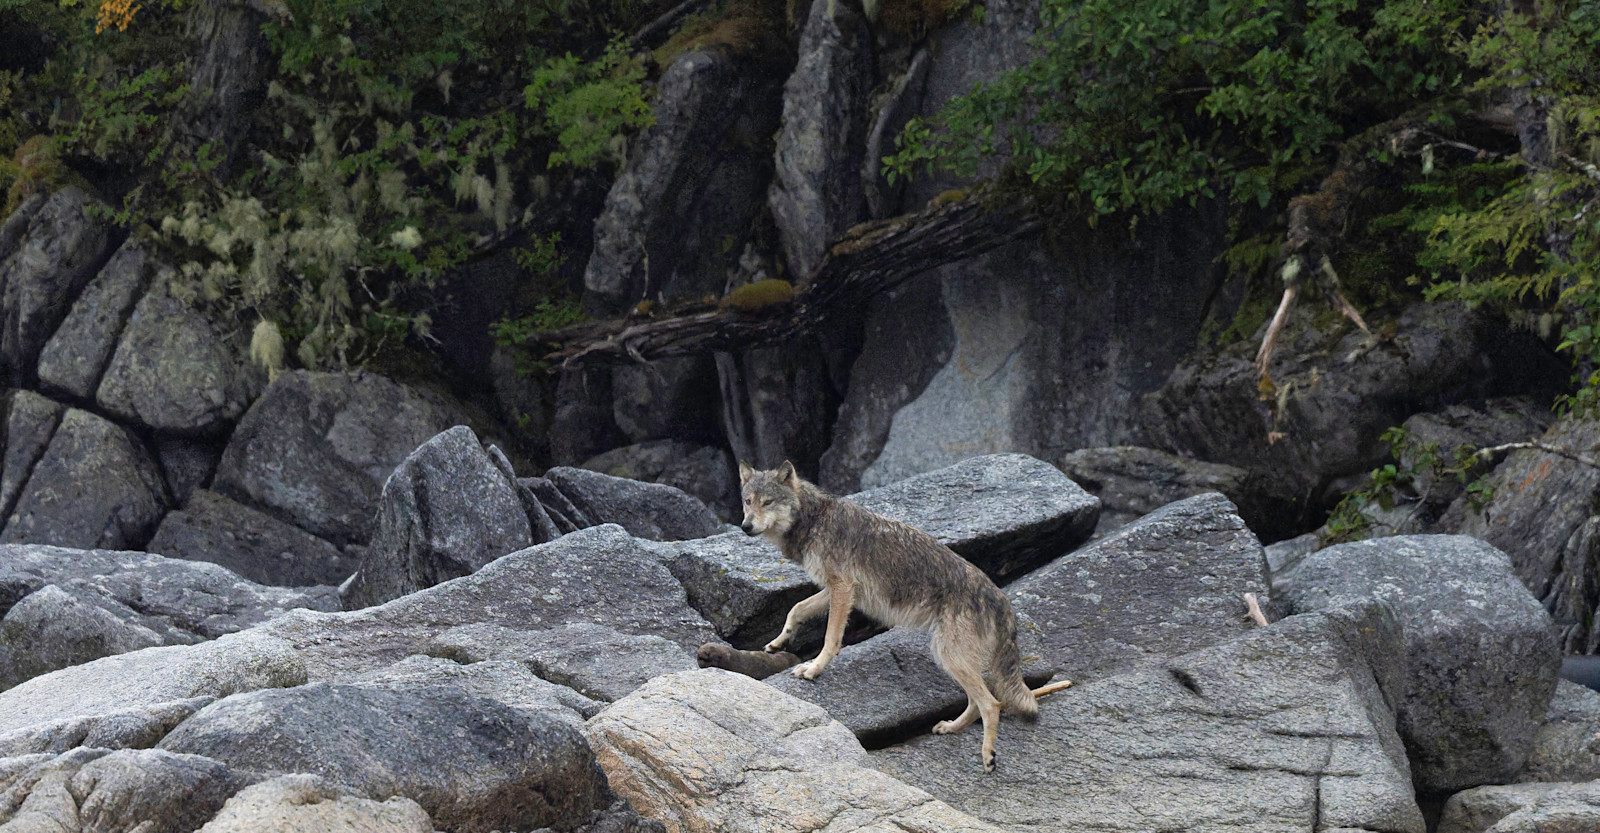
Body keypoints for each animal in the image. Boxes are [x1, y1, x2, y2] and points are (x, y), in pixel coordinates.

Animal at [739, 460, 1070, 772]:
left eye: (768, 502)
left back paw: (988, 757)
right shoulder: (840, 591)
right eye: (747, 501)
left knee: (991, 704)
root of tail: (1001, 598)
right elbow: (796, 609)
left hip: (948, 656)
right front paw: (778, 643)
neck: (815, 517)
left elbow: (831, 639)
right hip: (950, 657)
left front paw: (813, 669)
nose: (745, 526)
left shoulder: (842, 588)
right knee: (980, 702)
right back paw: (951, 728)